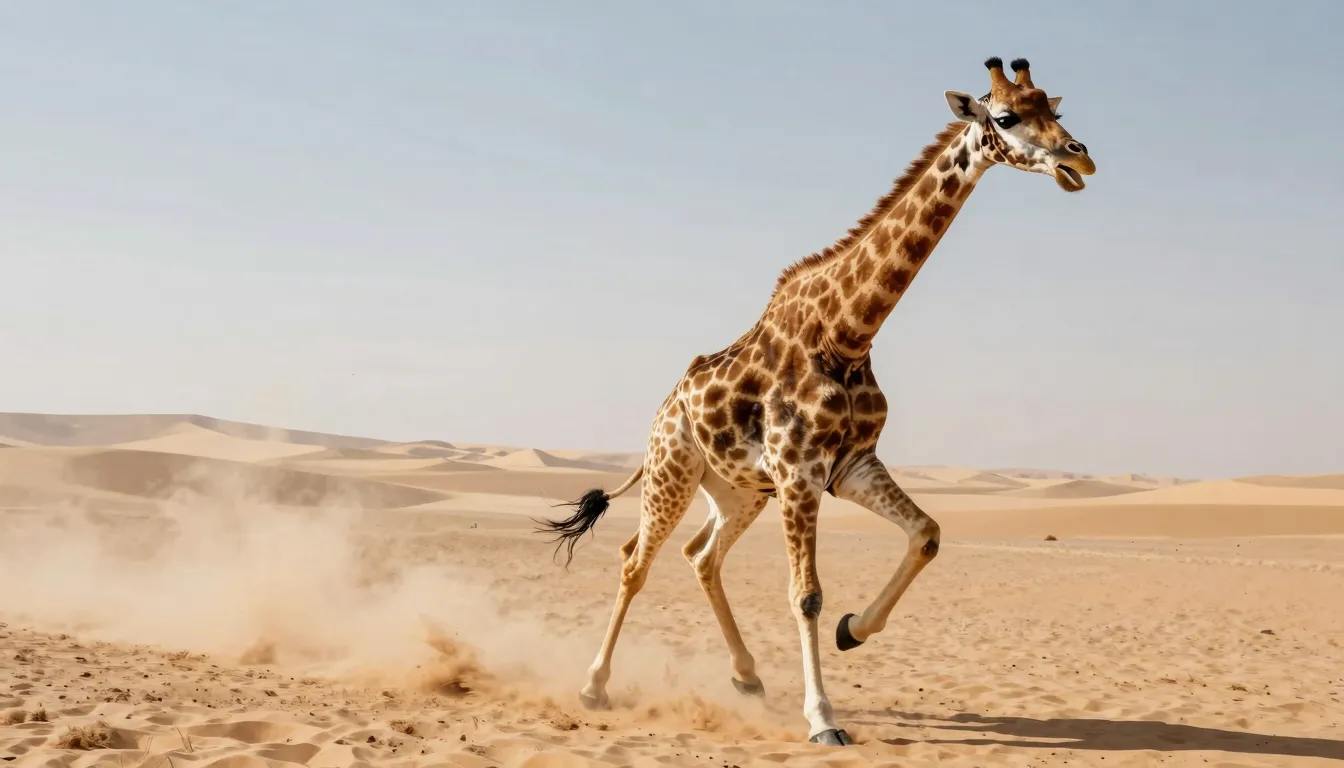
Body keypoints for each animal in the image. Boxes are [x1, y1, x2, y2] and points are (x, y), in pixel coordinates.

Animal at [536, 57, 1095, 746]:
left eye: (1057, 111)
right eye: (1008, 116)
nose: (1080, 158)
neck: (847, 333)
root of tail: (664, 412)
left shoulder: (849, 465)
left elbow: (928, 535)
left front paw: (853, 631)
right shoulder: (801, 472)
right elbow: (805, 594)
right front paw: (823, 719)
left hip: (741, 491)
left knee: (701, 557)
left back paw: (747, 677)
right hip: (674, 471)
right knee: (635, 561)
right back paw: (594, 687)